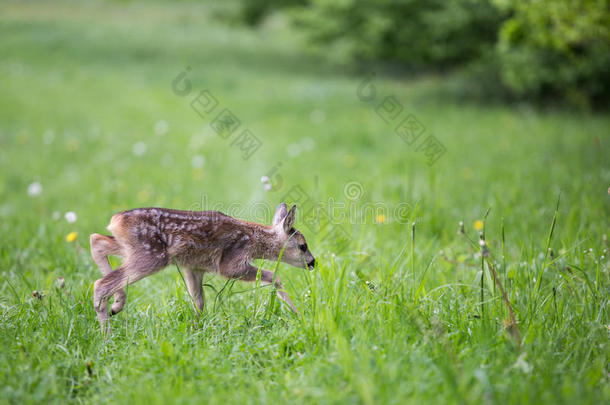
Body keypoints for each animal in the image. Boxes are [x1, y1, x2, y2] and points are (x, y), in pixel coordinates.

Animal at [90, 201, 314, 332]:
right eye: (303, 246)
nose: (313, 262)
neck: (254, 239)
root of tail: (116, 220)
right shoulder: (230, 263)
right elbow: (273, 276)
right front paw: (299, 315)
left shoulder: (194, 267)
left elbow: (198, 301)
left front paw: (196, 329)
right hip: (151, 255)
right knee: (101, 283)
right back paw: (107, 337)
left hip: (131, 249)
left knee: (96, 240)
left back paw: (116, 305)